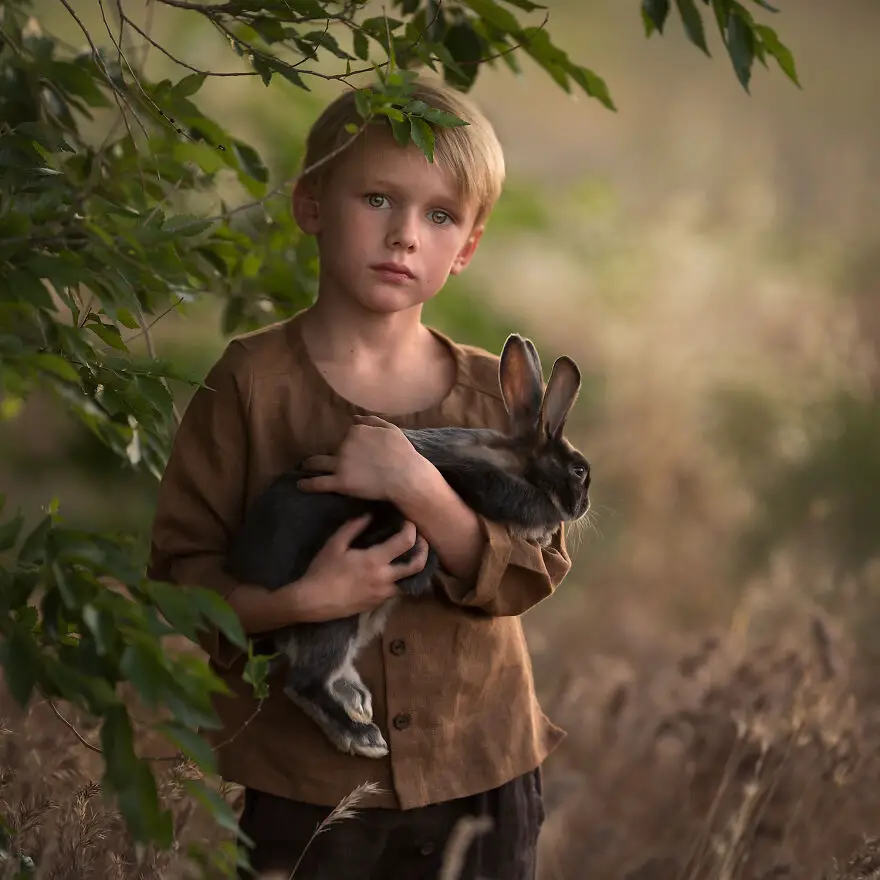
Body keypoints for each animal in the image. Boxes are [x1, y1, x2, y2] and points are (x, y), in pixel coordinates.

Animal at [225, 334, 592, 760]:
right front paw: (537, 530)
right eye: (579, 470)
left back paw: (358, 700)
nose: (582, 507)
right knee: (305, 682)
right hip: (332, 613)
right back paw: (361, 736)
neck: (514, 461)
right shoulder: (477, 480)